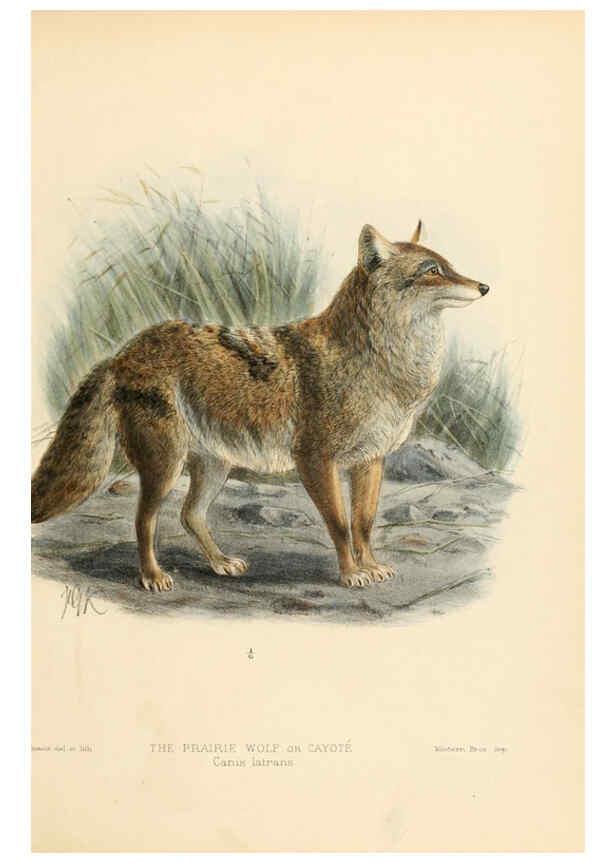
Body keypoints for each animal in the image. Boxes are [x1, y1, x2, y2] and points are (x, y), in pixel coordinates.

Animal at [31, 222, 489, 590]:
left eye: (448, 265)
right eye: (432, 271)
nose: (484, 287)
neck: (386, 365)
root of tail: (121, 353)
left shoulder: (370, 460)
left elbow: (364, 524)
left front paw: (371, 566)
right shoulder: (315, 460)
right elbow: (340, 526)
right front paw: (350, 574)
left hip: (213, 466)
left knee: (190, 515)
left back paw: (219, 563)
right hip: (166, 466)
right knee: (144, 521)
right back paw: (152, 577)